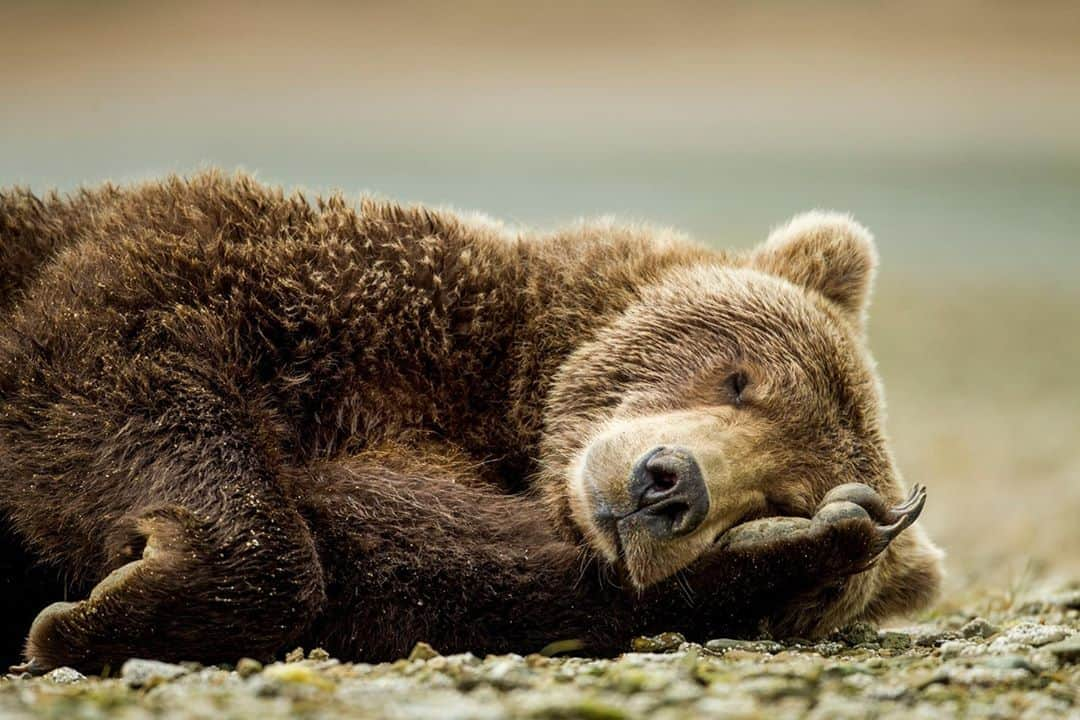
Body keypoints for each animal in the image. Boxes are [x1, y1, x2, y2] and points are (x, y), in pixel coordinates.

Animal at [0, 171, 941, 673]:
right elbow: (125, 346)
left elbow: (419, 568)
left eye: (784, 491)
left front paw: (805, 544)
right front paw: (98, 615)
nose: (667, 484)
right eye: (738, 377)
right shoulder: (322, 289)